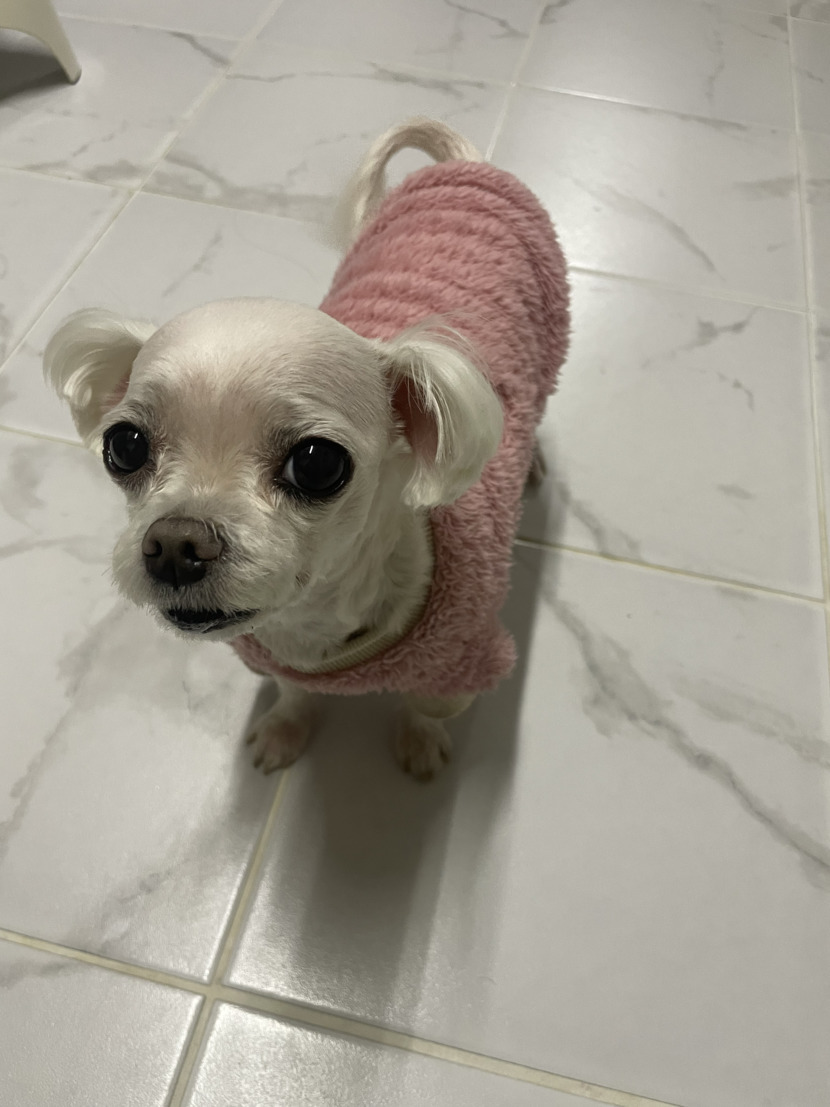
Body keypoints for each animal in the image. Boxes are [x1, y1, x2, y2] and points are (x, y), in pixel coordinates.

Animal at [44, 118, 570, 781]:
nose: (175, 545)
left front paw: (420, 742)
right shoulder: (273, 660)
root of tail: (463, 166)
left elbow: (425, 707)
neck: (314, 625)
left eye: (317, 464)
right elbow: (293, 693)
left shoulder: (460, 667)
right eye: (125, 445)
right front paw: (284, 730)